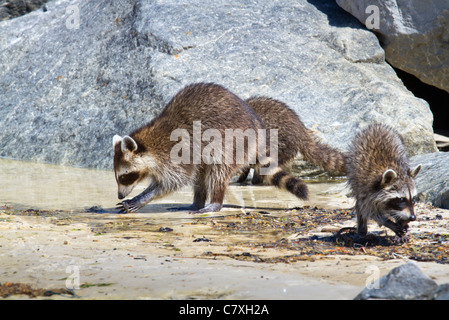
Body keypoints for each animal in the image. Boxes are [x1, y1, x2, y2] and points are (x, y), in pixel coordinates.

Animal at [113, 82, 308, 214]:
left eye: (124, 175)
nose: (120, 196)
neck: (150, 144)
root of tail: (258, 130)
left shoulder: (178, 152)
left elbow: (175, 181)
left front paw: (144, 198)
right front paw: (139, 196)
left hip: (232, 143)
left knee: (218, 172)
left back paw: (214, 202)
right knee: (201, 174)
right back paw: (197, 202)